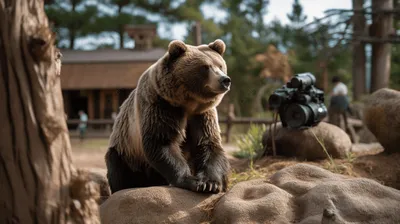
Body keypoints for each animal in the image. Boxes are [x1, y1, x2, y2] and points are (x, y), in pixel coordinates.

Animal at [104, 38, 231, 194]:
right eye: (206, 67)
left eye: (220, 65)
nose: (225, 80)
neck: (189, 102)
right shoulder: (161, 105)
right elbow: (162, 142)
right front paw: (191, 180)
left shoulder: (202, 114)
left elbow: (208, 143)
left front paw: (210, 183)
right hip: (127, 150)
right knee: (118, 166)